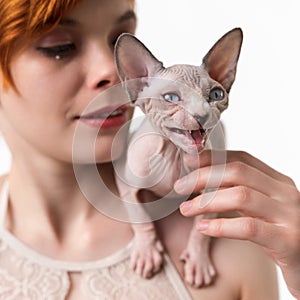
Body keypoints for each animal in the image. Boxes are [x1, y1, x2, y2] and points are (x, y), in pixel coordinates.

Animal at [113, 28, 243, 288]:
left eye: (216, 95)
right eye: (171, 98)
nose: (202, 115)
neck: (175, 154)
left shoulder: (213, 188)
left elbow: (202, 225)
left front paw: (198, 260)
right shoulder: (124, 181)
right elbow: (140, 216)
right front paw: (147, 252)